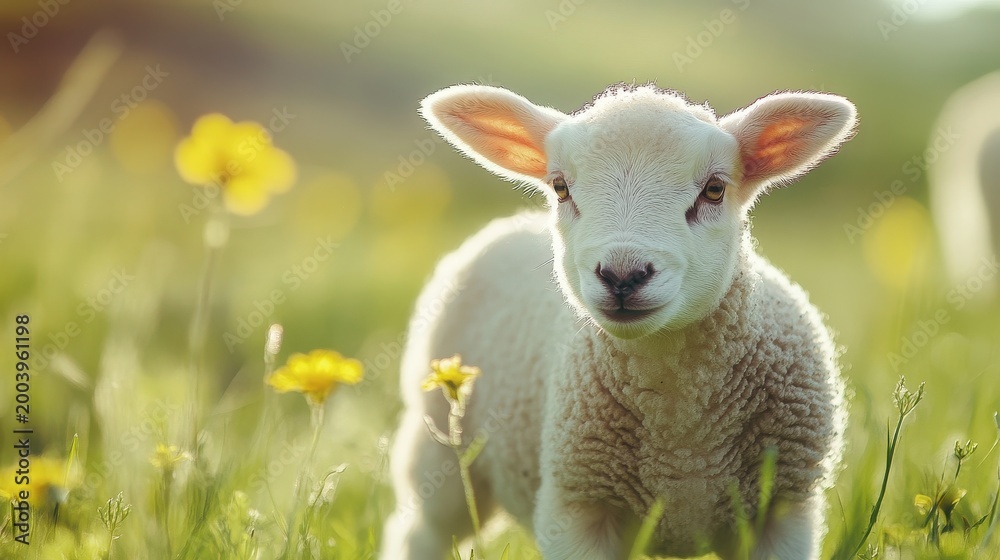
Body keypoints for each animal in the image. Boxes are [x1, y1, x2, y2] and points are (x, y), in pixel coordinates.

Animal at [380, 83, 855, 560]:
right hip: (441, 448)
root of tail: (512, 222)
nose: (622, 275)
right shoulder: (578, 507)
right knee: (423, 530)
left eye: (715, 190)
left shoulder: (781, 512)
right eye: (560, 187)